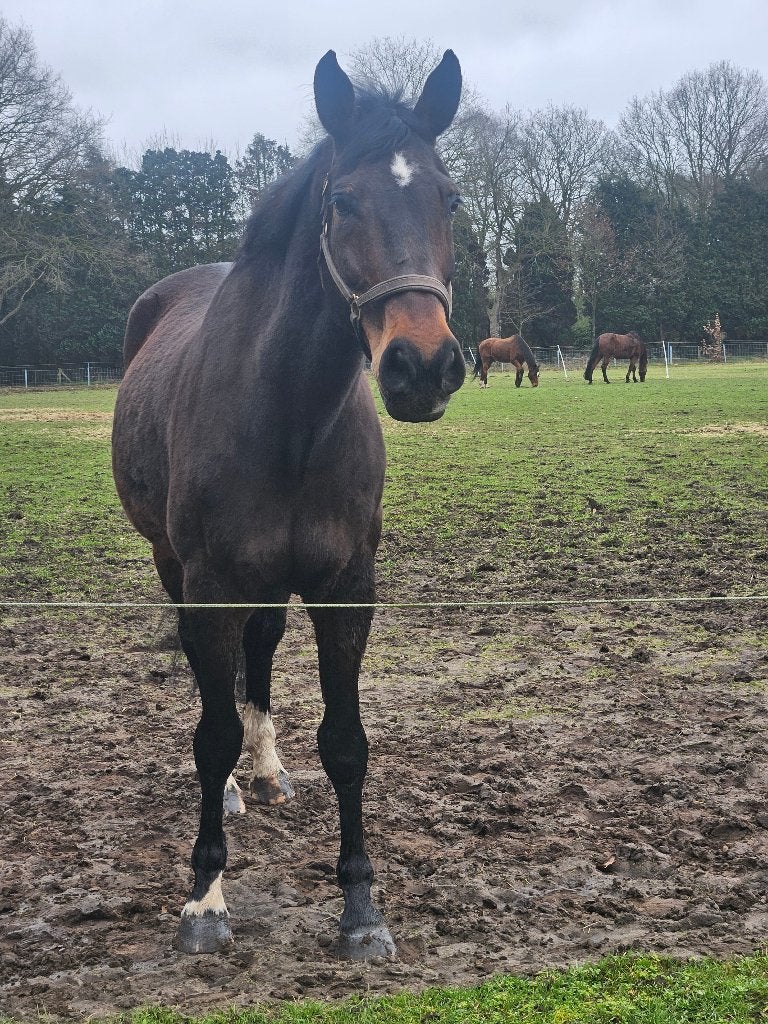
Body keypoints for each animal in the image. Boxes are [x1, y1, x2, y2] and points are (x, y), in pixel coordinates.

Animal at [111, 50, 465, 959]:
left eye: (448, 198)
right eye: (343, 201)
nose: (423, 366)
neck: (289, 415)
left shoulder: (346, 587)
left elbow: (345, 742)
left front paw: (362, 910)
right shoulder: (210, 587)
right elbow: (210, 736)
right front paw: (205, 900)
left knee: (263, 651)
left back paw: (268, 774)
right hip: (174, 567)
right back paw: (242, 787)